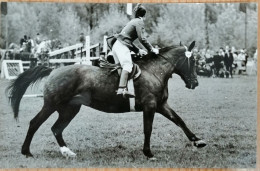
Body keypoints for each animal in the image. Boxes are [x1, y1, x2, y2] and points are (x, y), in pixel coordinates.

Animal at [7, 40, 206, 160]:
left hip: (69, 109)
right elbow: (148, 129)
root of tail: (53, 70)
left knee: (56, 129)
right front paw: (148, 153)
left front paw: (197, 141)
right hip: (51, 105)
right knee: (35, 123)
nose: (195, 83)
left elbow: (179, 120)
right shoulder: (150, 106)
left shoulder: (161, 105)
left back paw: (67, 152)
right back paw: (26, 152)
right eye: (193, 61)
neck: (155, 71)